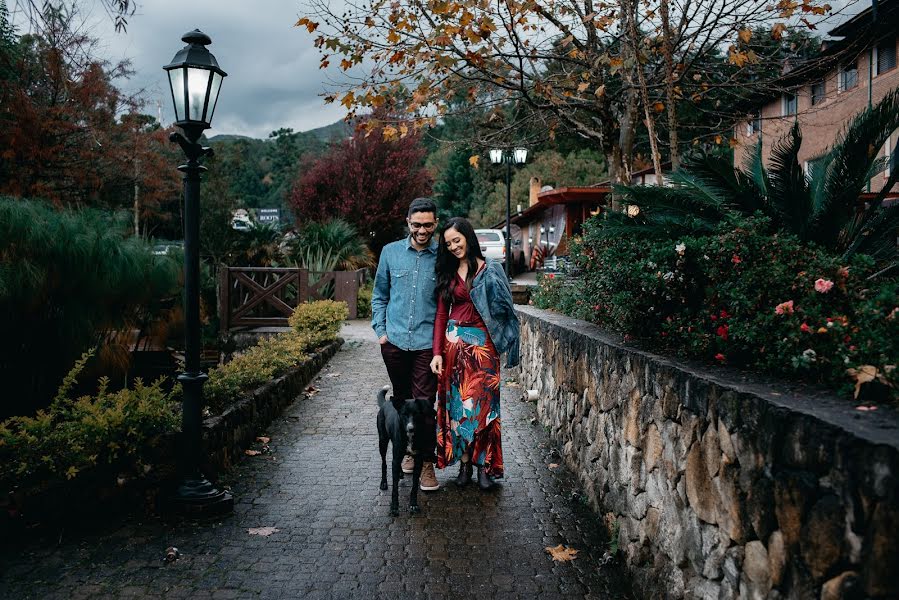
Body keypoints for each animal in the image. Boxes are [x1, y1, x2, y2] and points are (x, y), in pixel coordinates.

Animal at [378, 386, 438, 516]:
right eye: (404, 414)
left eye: (417, 414)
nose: (411, 428)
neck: (410, 437)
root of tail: (386, 403)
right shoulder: (396, 457)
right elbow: (395, 488)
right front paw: (394, 507)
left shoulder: (418, 461)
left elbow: (414, 486)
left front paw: (413, 505)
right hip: (382, 441)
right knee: (384, 463)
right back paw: (384, 482)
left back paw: (400, 473)